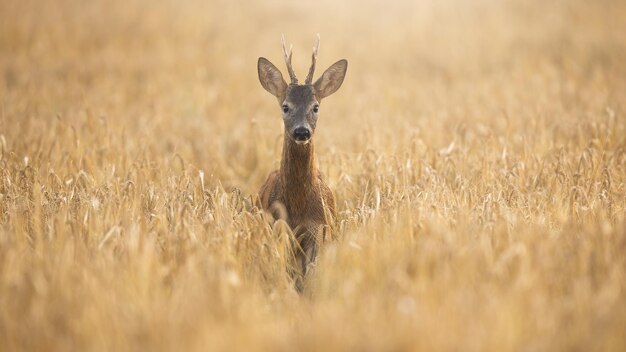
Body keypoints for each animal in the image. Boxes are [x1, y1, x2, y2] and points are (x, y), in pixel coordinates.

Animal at [256, 35, 346, 288]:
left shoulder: (318, 229)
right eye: (285, 106)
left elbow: (309, 274)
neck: (297, 207)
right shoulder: (278, 226)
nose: (302, 131)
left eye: (315, 107)